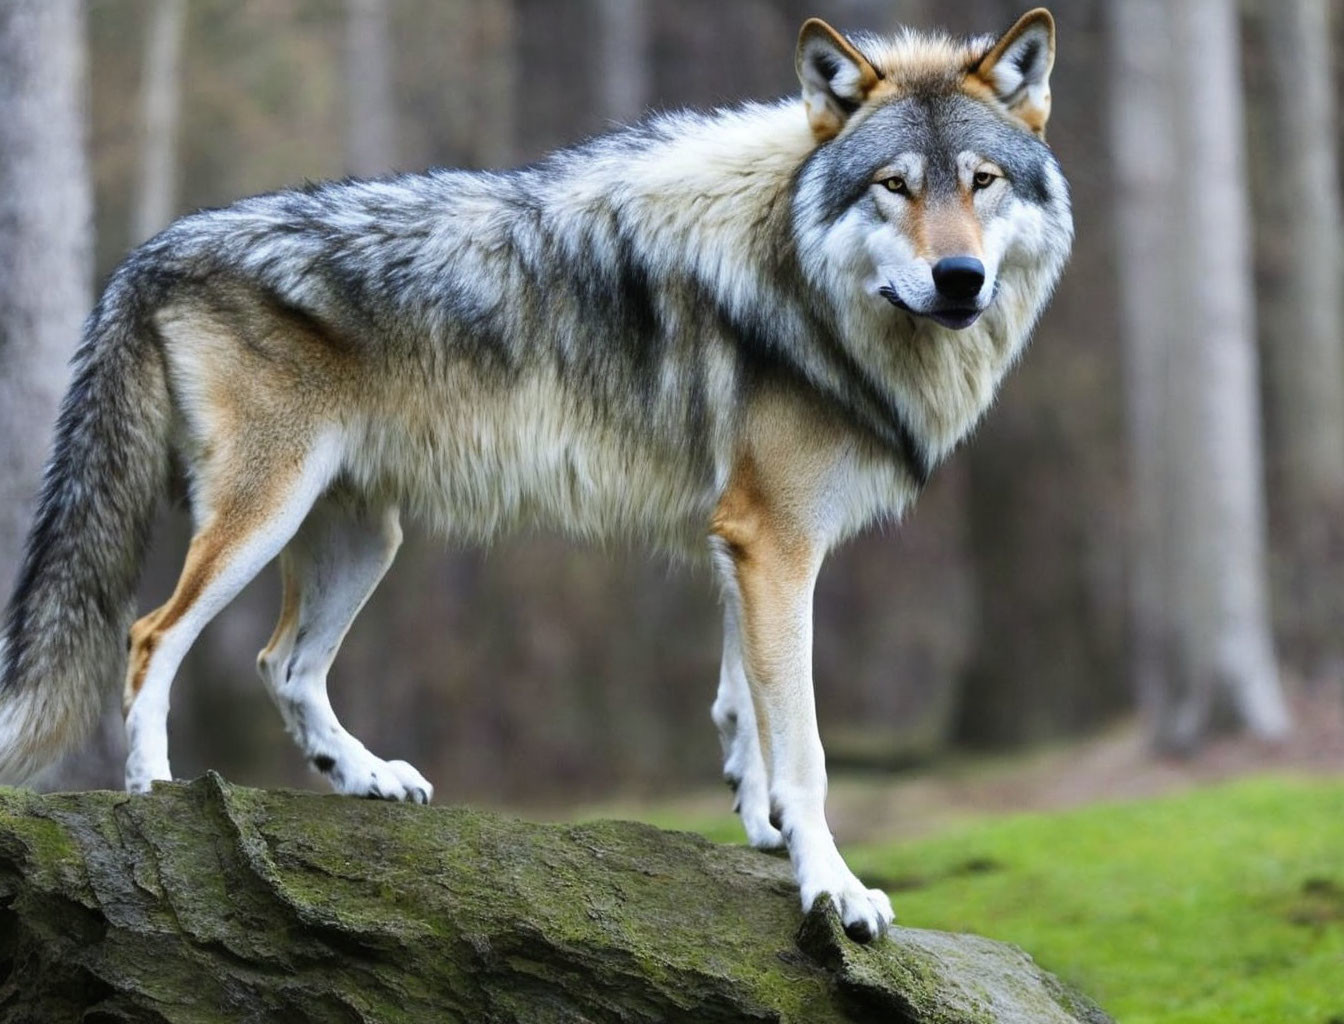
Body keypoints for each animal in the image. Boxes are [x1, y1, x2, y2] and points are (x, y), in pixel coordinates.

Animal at [0, 5, 1069, 935]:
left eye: (982, 181)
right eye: (894, 185)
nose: (961, 279)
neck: (794, 266)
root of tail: (154, 249)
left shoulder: (744, 541)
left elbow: (743, 709)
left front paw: (763, 830)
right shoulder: (778, 542)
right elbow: (801, 743)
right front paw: (834, 889)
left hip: (362, 535)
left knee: (282, 664)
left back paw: (365, 777)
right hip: (264, 517)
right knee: (150, 635)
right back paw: (153, 796)